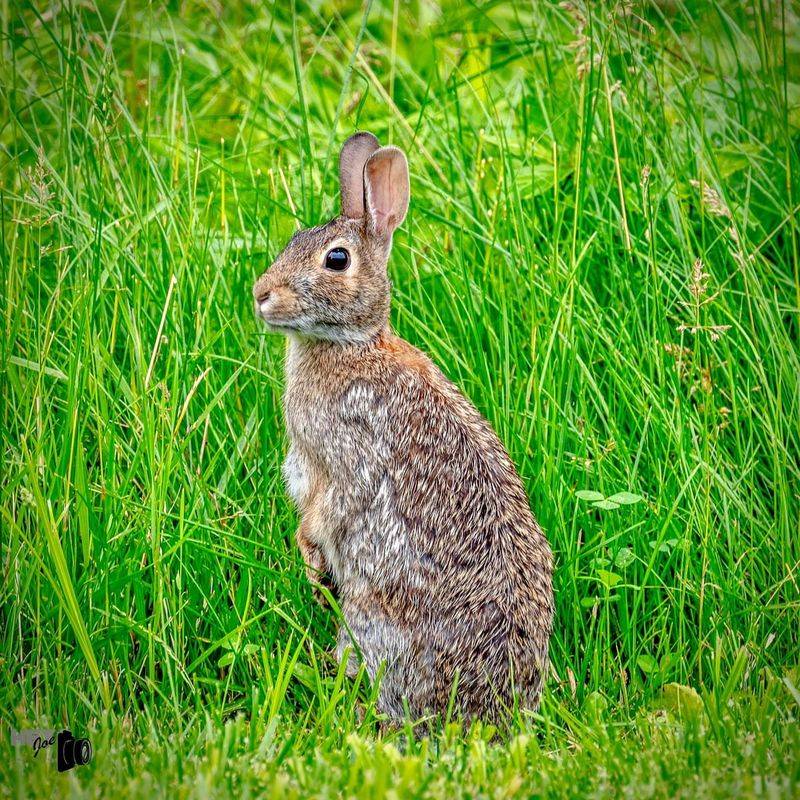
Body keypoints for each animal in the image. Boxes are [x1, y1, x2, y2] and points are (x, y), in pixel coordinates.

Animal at [252, 131, 553, 722]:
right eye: (294, 239)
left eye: (336, 259)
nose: (260, 294)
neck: (352, 346)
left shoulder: (346, 461)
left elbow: (326, 513)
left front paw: (309, 561)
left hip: (373, 617)